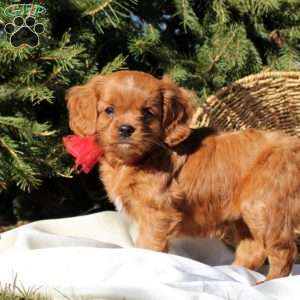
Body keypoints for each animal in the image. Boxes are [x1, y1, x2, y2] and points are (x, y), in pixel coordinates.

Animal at [67, 71, 300, 282]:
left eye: (148, 113)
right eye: (109, 110)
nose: (126, 129)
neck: (140, 158)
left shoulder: (158, 213)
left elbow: (148, 245)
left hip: (264, 208)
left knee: (284, 252)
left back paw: (267, 284)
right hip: (246, 218)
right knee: (253, 249)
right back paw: (233, 272)